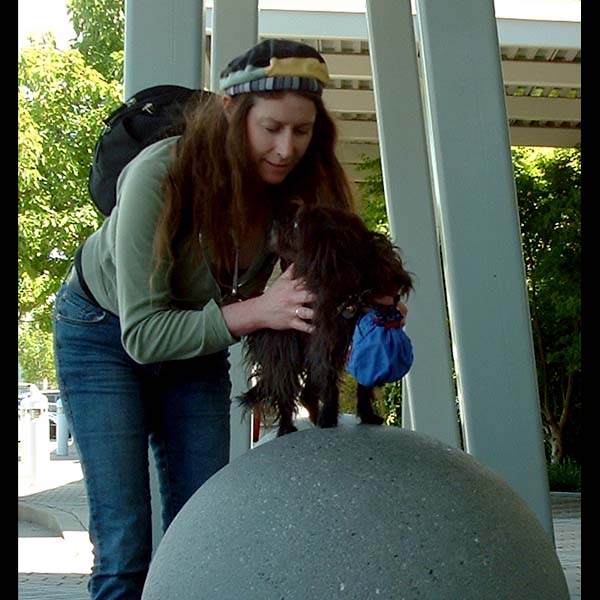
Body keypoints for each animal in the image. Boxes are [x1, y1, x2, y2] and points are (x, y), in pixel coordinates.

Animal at [239, 205, 412, 436]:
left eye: (296, 224)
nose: (274, 220)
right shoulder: (326, 344)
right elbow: (329, 383)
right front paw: (329, 417)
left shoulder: (358, 347)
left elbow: (363, 385)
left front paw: (366, 415)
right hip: (285, 354)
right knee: (286, 390)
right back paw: (287, 426)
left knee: (306, 393)